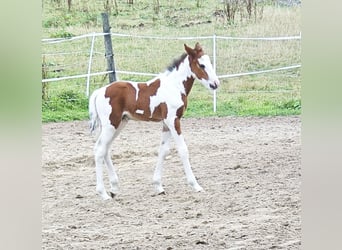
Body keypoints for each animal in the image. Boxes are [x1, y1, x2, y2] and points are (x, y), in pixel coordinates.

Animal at [89, 42, 220, 199]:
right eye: (201, 65)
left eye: (210, 63)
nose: (215, 84)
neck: (174, 86)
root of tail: (99, 92)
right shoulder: (173, 120)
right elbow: (183, 149)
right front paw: (196, 185)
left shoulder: (166, 123)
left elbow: (163, 150)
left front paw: (158, 186)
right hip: (111, 125)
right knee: (99, 150)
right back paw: (103, 193)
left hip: (119, 123)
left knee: (105, 148)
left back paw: (114, 188)